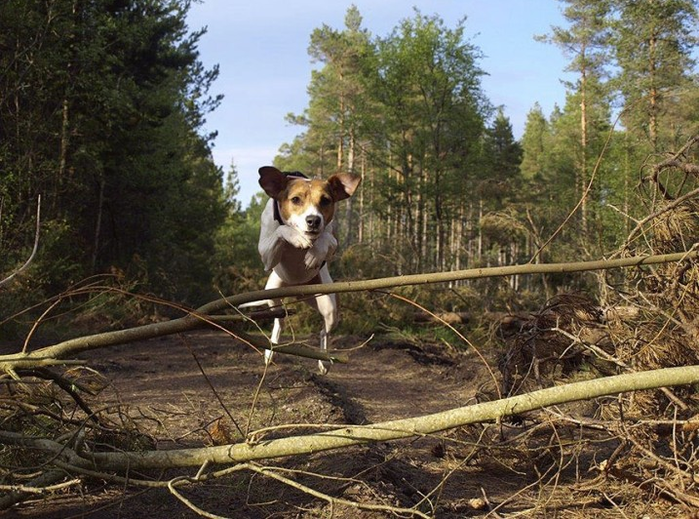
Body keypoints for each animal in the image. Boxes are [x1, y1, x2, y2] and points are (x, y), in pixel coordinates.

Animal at [254, 167, 360, 374]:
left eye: (325, 200)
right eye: (295, 199)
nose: (313, 220)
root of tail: (298, 288)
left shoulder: (333, 242)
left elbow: (325, 238)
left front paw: (314, 253)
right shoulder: (266, 256)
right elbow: (281, 231)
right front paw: (296, 237)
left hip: (330, 307)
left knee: (324, 332)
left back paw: (324, 361)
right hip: (272, 294)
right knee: (280, 321)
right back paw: (271, 352)